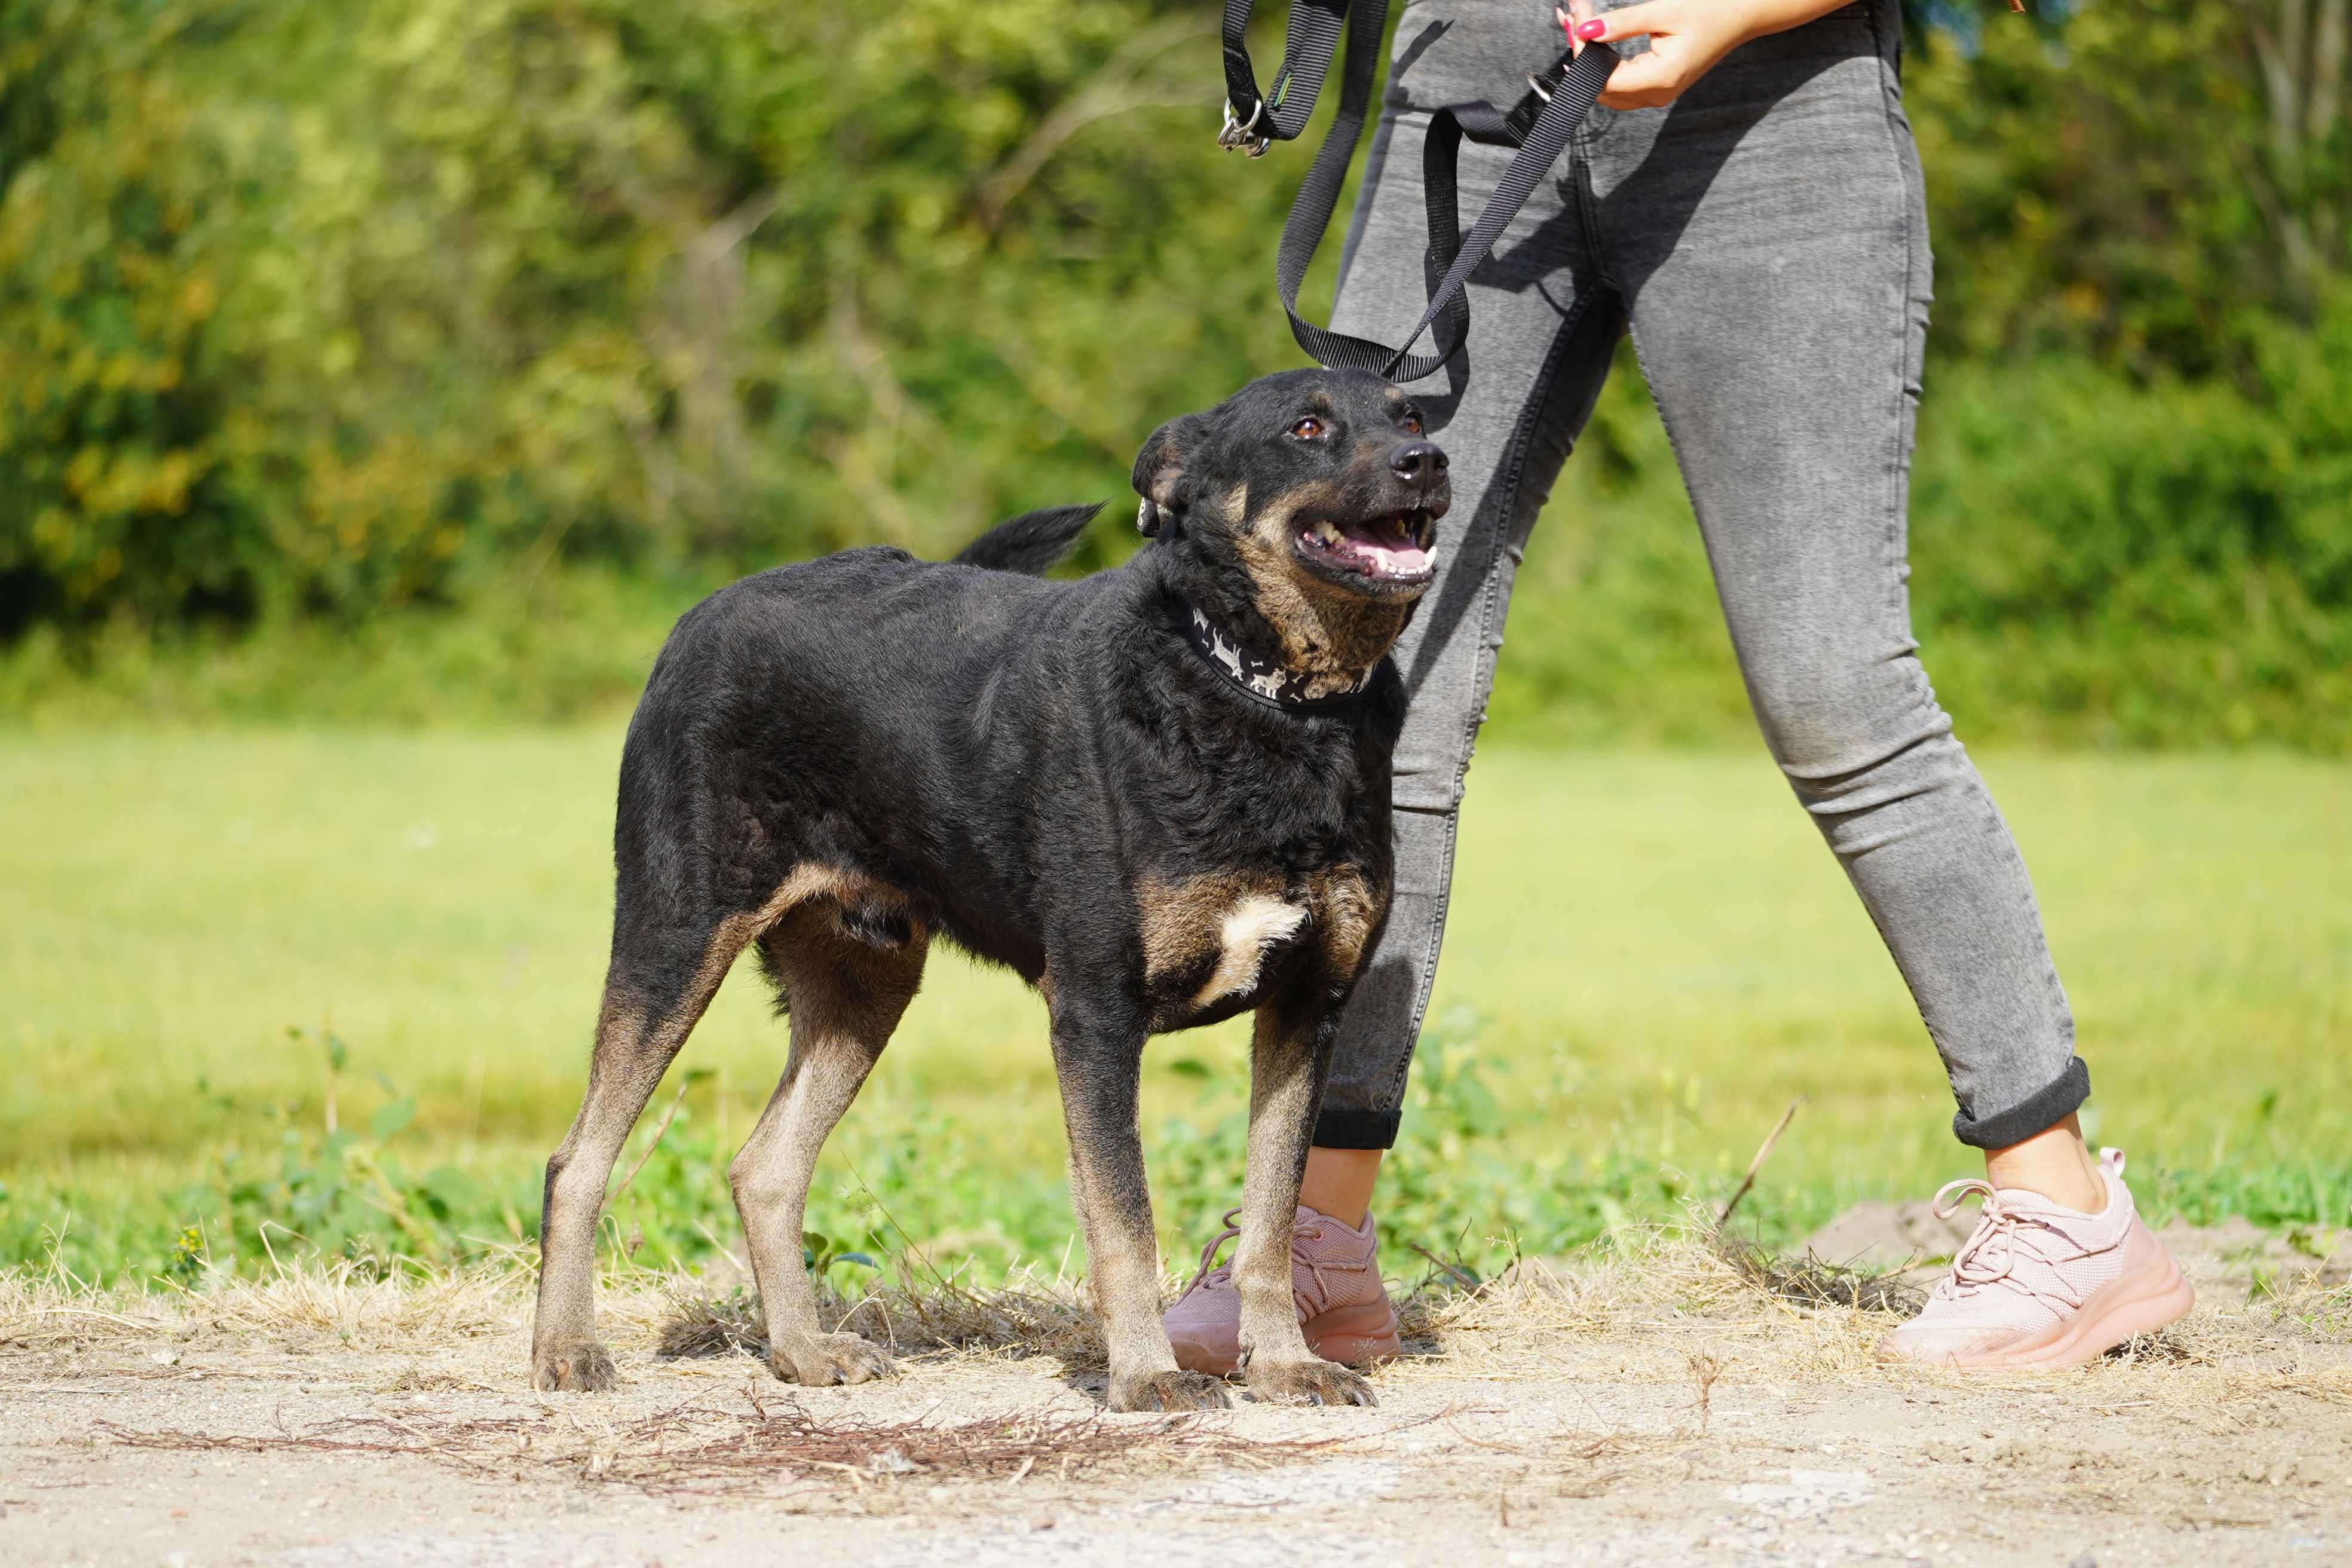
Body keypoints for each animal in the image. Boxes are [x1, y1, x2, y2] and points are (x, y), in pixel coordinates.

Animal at [536, 364, 1448, 1410]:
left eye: (1411, 414)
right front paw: (1148, 1376)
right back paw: (566, 1349)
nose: (1430, 461)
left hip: (864, 983)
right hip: (676, 934)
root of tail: (702, 615)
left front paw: (1289, 1365)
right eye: (1307, 427)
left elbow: (1268, 1217)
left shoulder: (1307, 1006)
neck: (1262, 697)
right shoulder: (1096, 1013)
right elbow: (1124, 1222)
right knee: (577, 1160)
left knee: (764, 1169)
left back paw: (803, 1353)